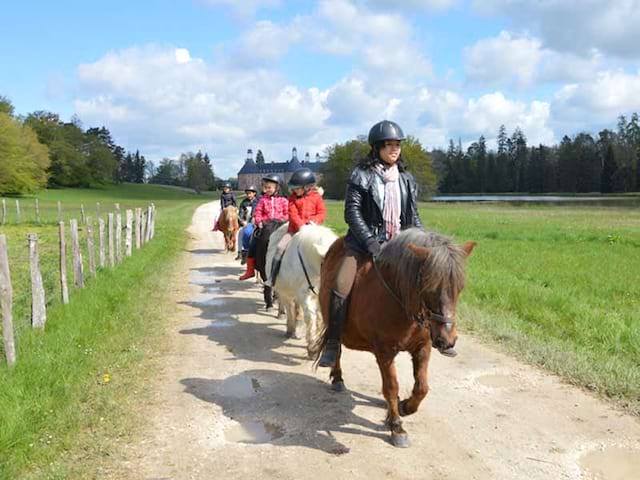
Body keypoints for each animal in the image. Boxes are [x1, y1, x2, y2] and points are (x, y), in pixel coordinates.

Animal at [264, 223, 338, 354]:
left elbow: (320, 316)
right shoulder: (304, 294)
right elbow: (310, 317)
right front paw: (312, 347)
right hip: (285, 291)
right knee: (289, 307)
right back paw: (290, 329)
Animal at [316, 228, 476, 446]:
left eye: (459, 288)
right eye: (429, 287)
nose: (447, 341)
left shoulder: (423, 347)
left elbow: (422, 387)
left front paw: (406, 406)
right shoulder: (385, 352)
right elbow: (391, 387)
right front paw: (397, 427)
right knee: (337, 348)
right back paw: (337, 378)